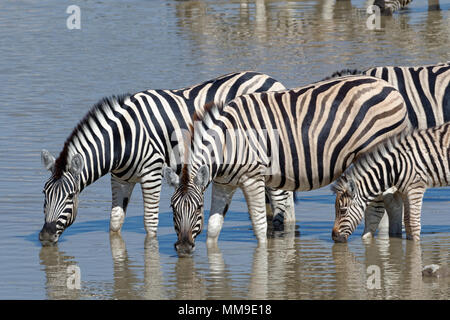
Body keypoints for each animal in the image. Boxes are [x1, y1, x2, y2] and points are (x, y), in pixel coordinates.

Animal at [39, 70, 292, 245]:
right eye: (44, 194)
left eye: (70, 196)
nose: (46, 236)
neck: (123, 137)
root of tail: (272, 79)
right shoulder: (120, 178)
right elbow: (115, 222)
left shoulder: (152, 173)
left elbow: (150, 223)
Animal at [165, 75, 412, 255]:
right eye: (172, 208)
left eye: (198, 207)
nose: (184, 247)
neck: (227, 144)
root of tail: (391, 88)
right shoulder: (223, 183)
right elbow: (214, 228)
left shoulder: (253, 178)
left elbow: (259, 225)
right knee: (392, 201)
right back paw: (392, 237)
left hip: (374, 153)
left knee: (380, 202)